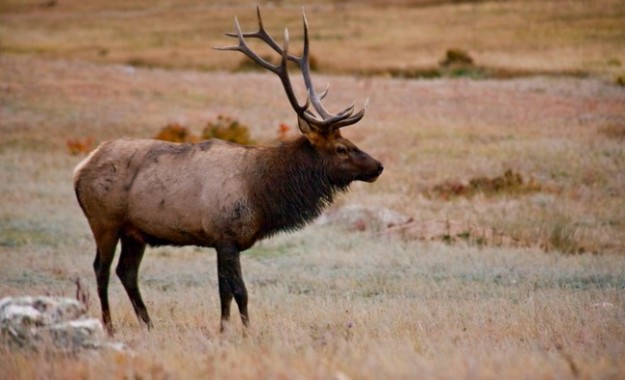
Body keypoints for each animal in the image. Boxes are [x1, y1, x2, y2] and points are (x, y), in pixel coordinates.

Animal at [75, 6, 382, 336]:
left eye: (349, 142)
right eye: (341, 148)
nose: (378, 166)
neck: (261, 194)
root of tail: (80, 168)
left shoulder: (226, 241)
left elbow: (232, 291)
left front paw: (235, 329)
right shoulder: (224, 235)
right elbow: (235, 291)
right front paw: (234, 331)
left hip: (135, 232)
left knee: (127, 272)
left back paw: (149, 325)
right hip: (104, 221)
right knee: (101, 269)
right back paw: (109, 327)